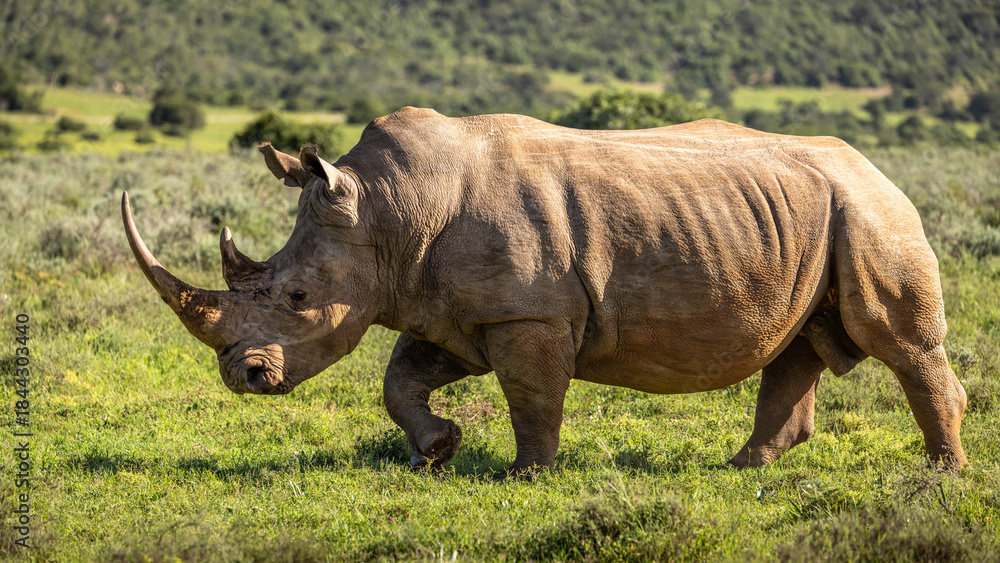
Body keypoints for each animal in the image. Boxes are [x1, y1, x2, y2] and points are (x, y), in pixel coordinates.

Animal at [122, 108, 968, 475]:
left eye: (297, 298)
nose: (244, 376)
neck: (389, 211)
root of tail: (879, 167)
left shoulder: (528, 310)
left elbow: (531, 396)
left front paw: (523, 474)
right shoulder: (456, 308)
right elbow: (401, 378)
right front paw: (437, 448)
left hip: (871, 211)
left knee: (897, 340)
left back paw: (942, 472)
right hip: (815, 214)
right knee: (798, 338)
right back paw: (746, 466)